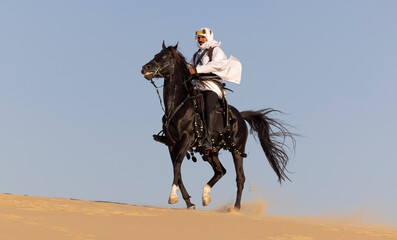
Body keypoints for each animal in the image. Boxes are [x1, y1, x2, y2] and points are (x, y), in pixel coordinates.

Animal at [141, 42, 292, 210]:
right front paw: (189, 202)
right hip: (210, 151)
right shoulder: (171, 143)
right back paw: (206, 196)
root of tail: (240, 116)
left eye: (165, 57)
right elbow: (176, 168)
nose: (145, 68)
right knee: (221, 171)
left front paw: (173, 196)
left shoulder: (186, 139)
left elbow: (178, 164)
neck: (178, 105)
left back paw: (235, 208)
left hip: (237, 150)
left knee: (240, 177)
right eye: (156, 55)